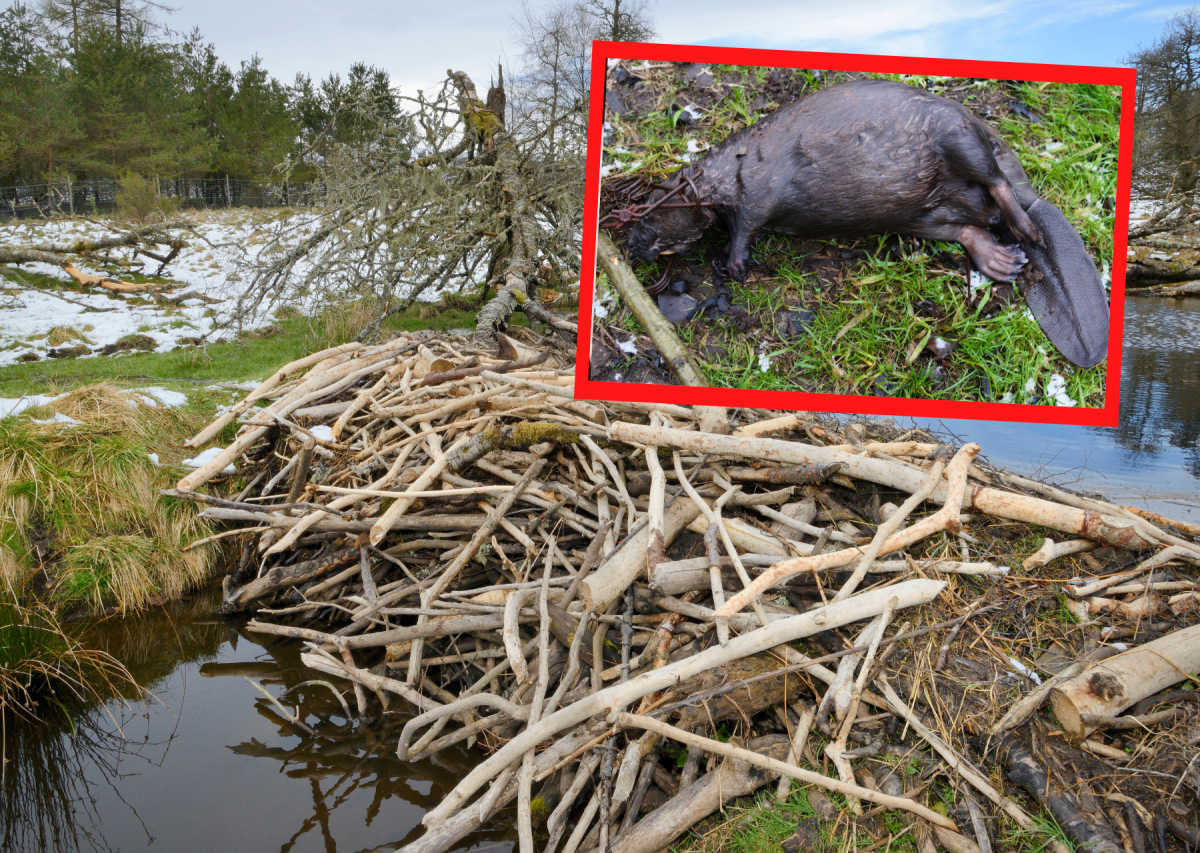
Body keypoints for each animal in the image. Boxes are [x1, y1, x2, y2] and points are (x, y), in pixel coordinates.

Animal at [624, 80, 1108, 369]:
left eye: (648, 211)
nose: (630, 243)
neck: (730, 167)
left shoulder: (759, 185)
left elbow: (748, 222)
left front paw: (733, 264)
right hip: (921, 216)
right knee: (968, 226)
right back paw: (1003, 260)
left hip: (959, 135)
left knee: (996, 184)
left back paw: (1027, 231)